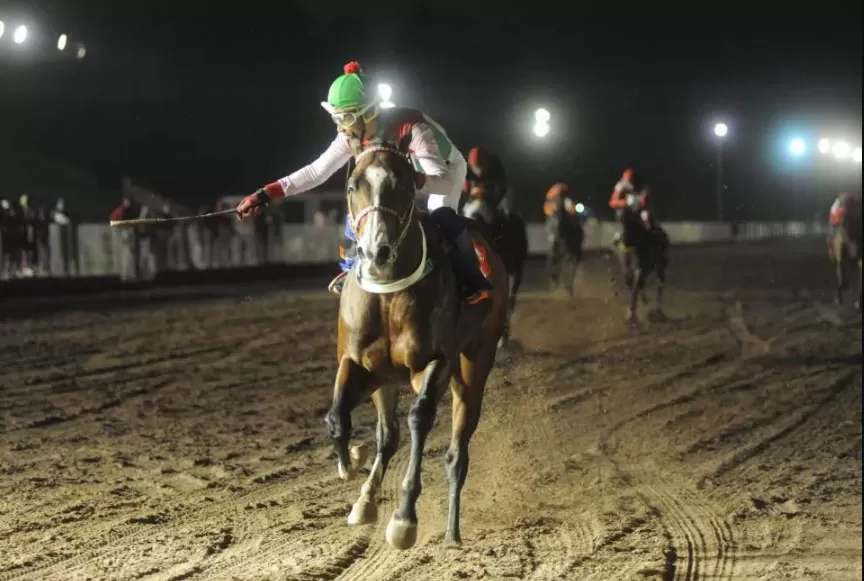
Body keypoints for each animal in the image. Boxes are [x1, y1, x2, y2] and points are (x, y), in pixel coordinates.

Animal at [326, 144, 512, 548]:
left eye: (405, 186)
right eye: (352, 186)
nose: (376, 252)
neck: (387, 295)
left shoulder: (436, 363)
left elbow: (419, 418)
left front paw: (404, 518)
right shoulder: (360, 364)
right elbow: (338, 417)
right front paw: (352, 463)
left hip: (475, 363)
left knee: (457, 452)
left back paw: (452, 532)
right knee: (388, 435)